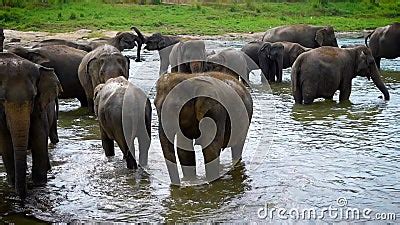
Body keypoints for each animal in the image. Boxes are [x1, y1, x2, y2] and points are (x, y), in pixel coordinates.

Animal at [0, 52, 61, 199]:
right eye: (2, 100)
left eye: (33, 97)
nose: (22, 198)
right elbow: (5, 145)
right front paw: (12, 184)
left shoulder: (39, 110)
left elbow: (39, 140)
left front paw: (39, 185)